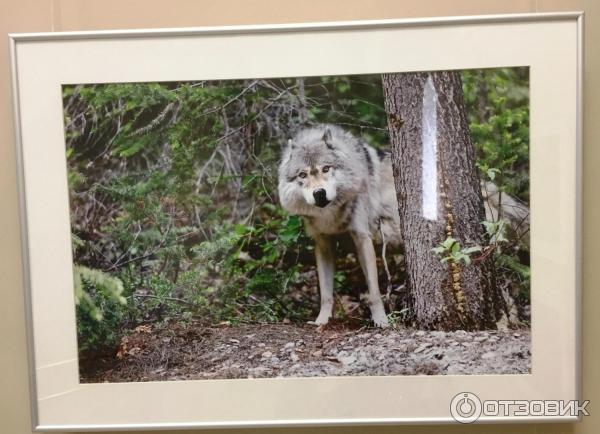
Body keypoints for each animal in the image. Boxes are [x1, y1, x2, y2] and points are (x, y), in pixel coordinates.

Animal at [278, 124, 400, 328]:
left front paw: (381, 320)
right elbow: (326, 293)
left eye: (326, 168)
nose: (319, 193)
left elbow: (374, 291)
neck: (328, 214)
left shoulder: (362, 238)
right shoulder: (322, 244)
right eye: (303, 174)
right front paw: (321, 320)